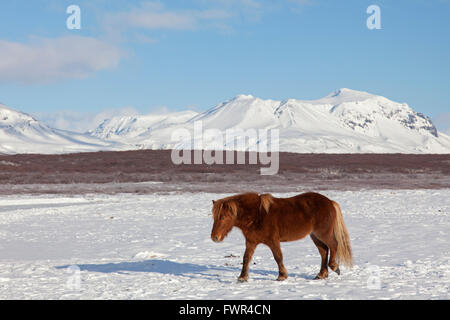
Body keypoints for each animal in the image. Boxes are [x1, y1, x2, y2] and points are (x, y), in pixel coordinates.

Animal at [210, 192, 352, 280]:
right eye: (214, 217)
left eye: (223, 217)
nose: (214, 237)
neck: (257, 215)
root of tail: (330, 202)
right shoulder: (251, 242)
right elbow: (246, 258)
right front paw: (242, 278)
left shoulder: (273, 241)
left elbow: (278, 257)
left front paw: (282, 276)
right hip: (315, 236)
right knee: (324, 251)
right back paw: (321, 274)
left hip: (323, 233)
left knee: (334, 245)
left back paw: (334, 267)